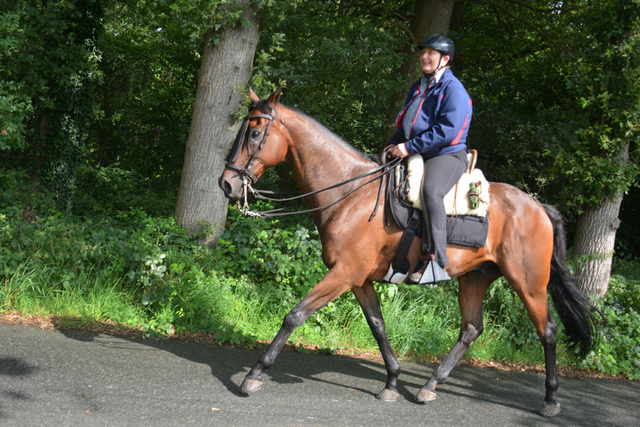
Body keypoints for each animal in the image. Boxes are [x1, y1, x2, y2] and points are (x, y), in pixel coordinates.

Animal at [218, 87, 596, 418]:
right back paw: (430, 385)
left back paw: (550, 400)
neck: (351, 194)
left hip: (528, 283)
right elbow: (378, 325)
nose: (226, 183)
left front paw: (254, 374)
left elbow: (294, 316)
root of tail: (538, 206)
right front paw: (392, 381)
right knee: (471, 329)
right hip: (475, 279)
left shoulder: (342, 274)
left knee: (547, 330)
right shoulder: (358, 279)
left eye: (255, 132)